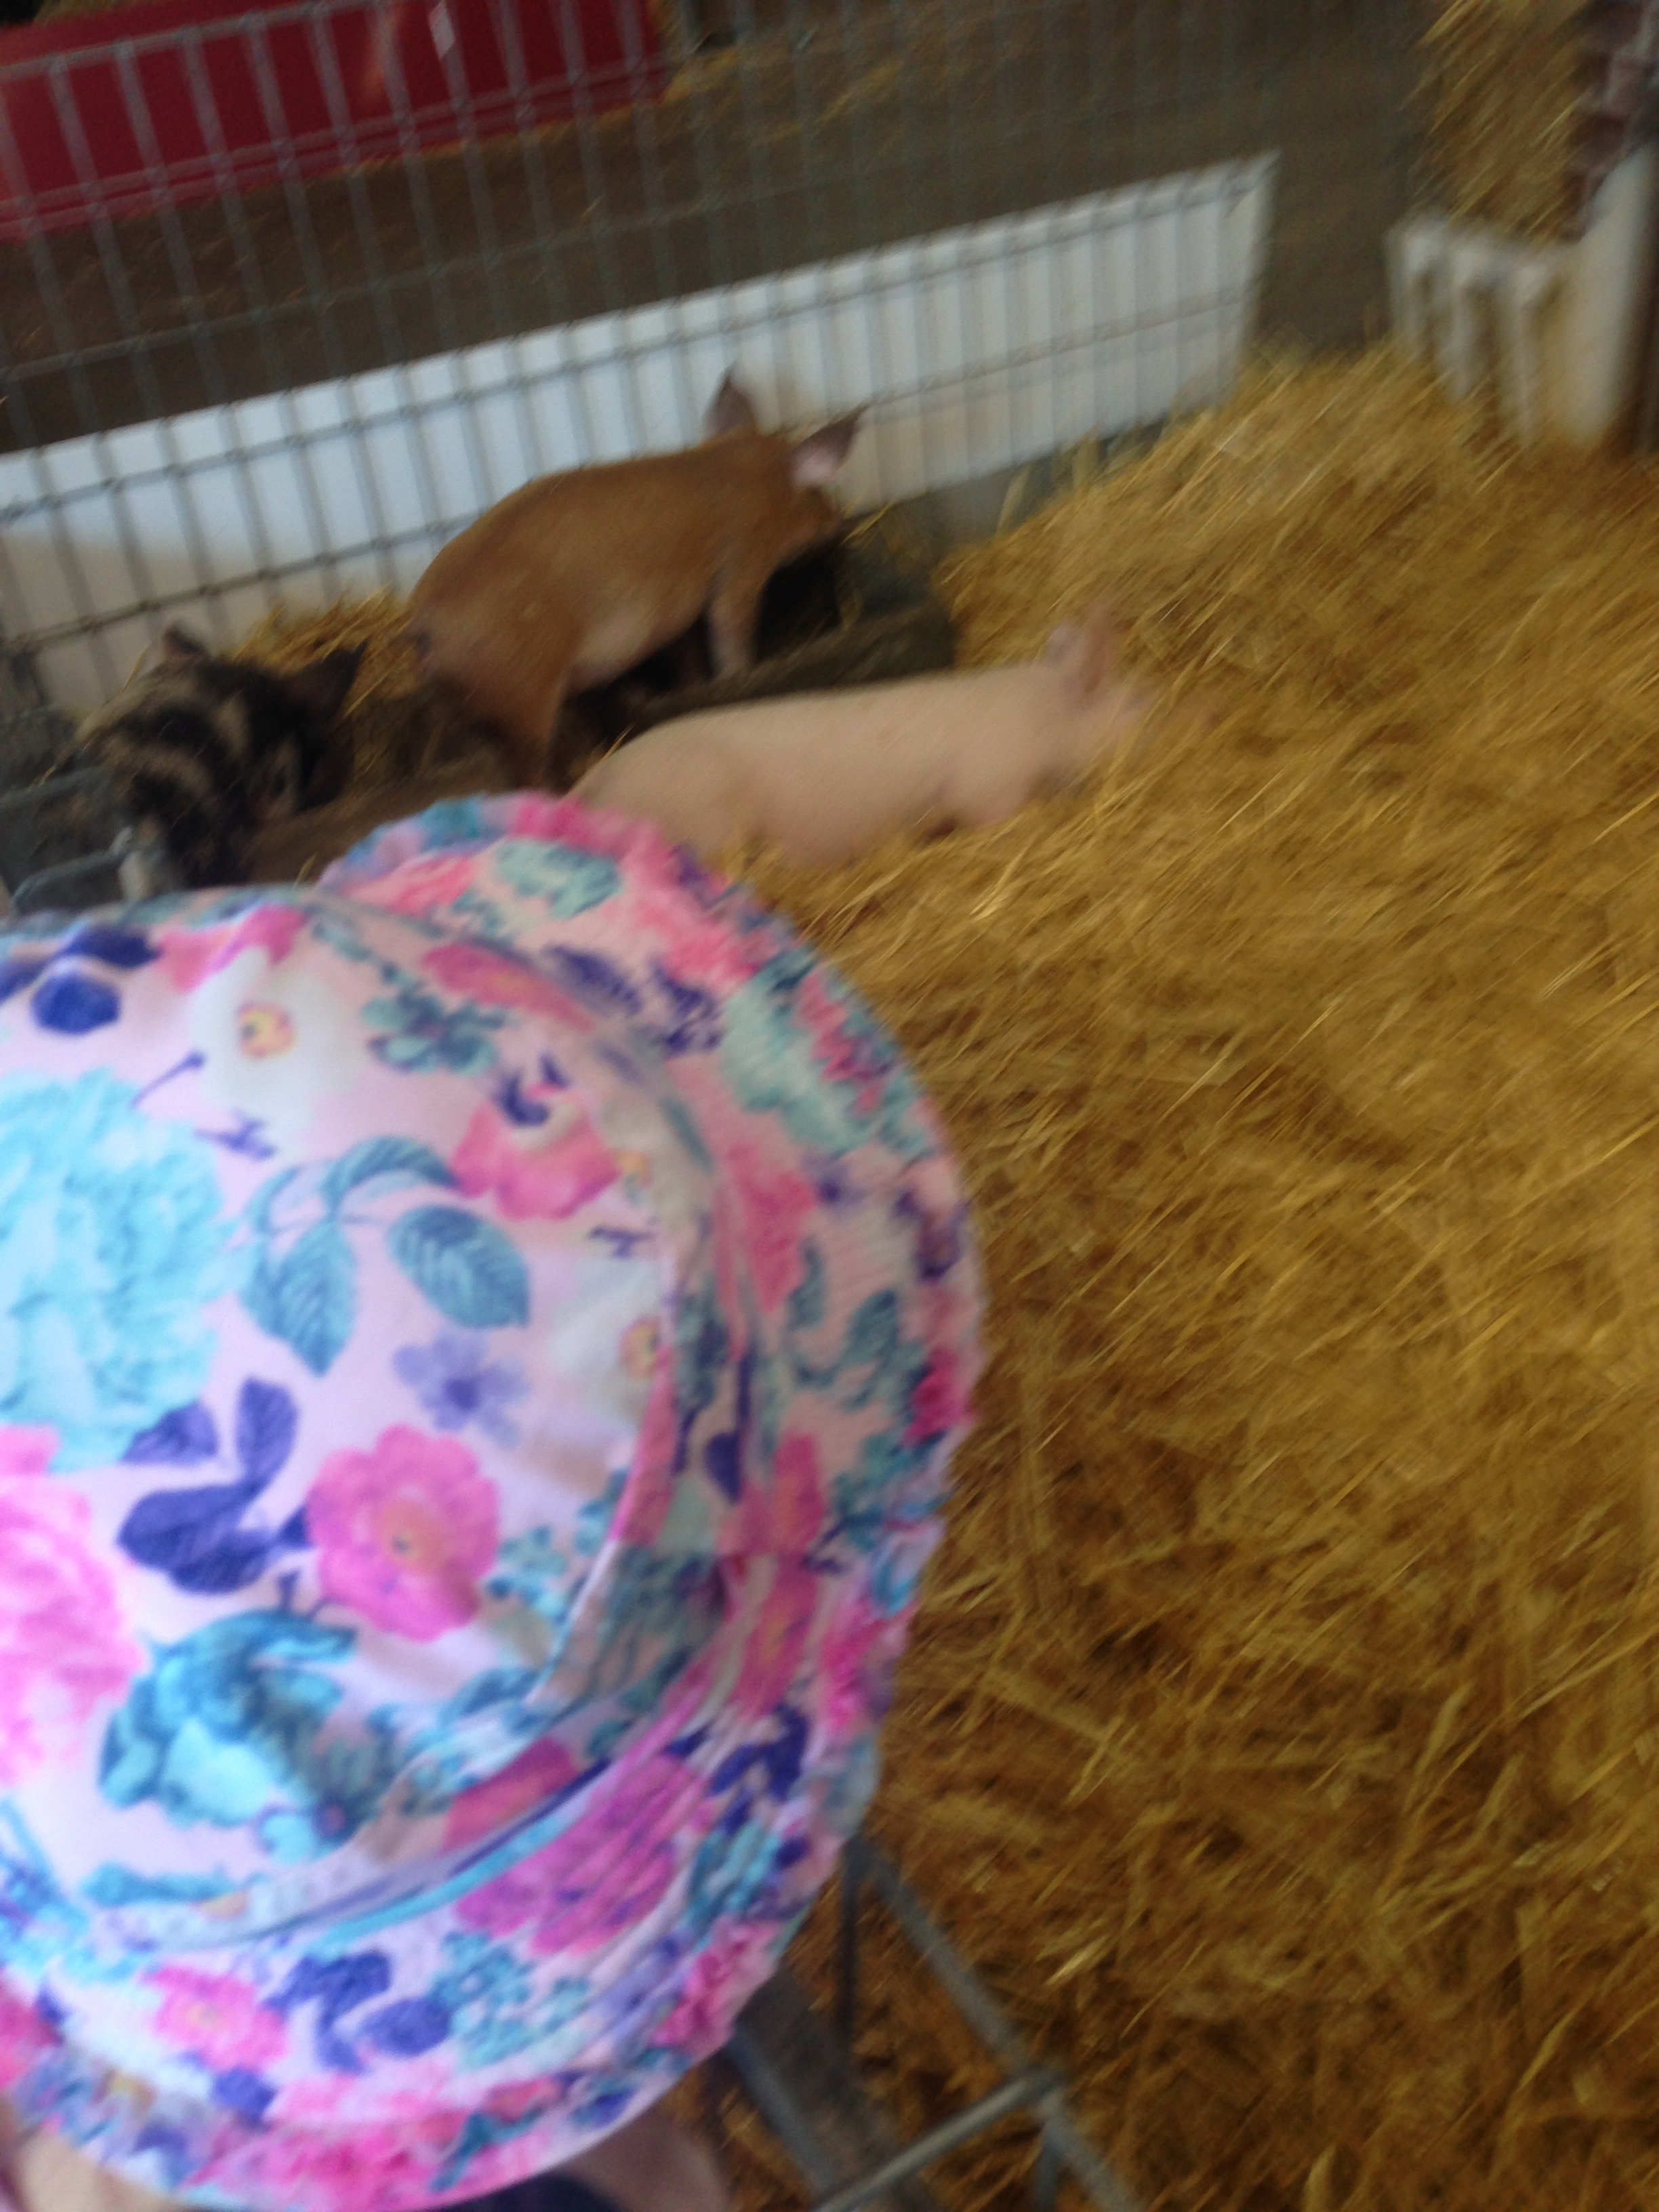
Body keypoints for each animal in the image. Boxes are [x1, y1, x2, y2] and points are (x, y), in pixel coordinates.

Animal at [405, 374, 863, 789]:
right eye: (820, 492)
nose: (839, 521)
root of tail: (424, 624)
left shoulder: (679, 609)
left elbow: (686, 654)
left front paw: (692, 686)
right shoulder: (744, 563)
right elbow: (730, 630)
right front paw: (738, 676)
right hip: (522, 695)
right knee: (527, 770)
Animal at [572, 604, 1158, 867]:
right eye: (1136, 704)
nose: (1177, 722)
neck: (1044, 718)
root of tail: (602, 775)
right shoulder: (990, 786)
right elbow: (993, 816)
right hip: (705, 816)